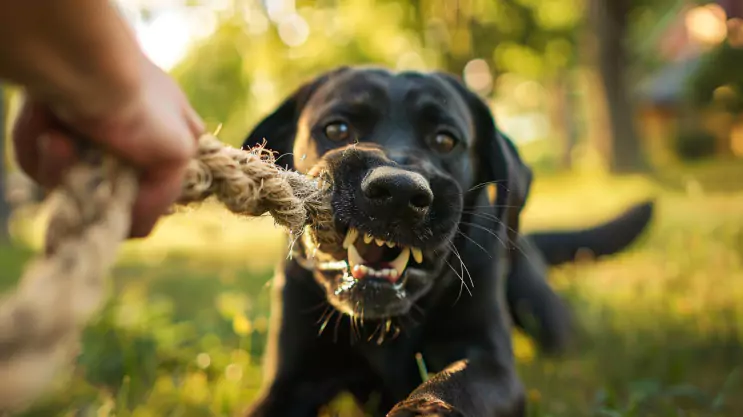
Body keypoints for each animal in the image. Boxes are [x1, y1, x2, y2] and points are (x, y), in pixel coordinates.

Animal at [241, 66, 652, 414]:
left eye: (445, 140)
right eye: (337, 129)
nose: (398, 191)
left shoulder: (491, 361)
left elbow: (452, 385)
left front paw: (420, 411)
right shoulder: (292, 380)